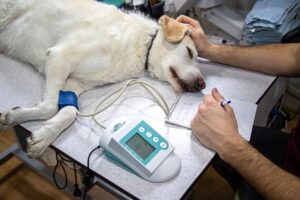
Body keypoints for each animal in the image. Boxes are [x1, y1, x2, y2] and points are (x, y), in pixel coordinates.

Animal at [0, 0, 205, 158]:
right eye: (189, 52)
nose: (202, 84)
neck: (142, 45)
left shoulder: (74, 83)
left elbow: (69, 112)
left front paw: (42, 134)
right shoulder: (59, 56)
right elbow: (50, 107)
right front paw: (20, 118)